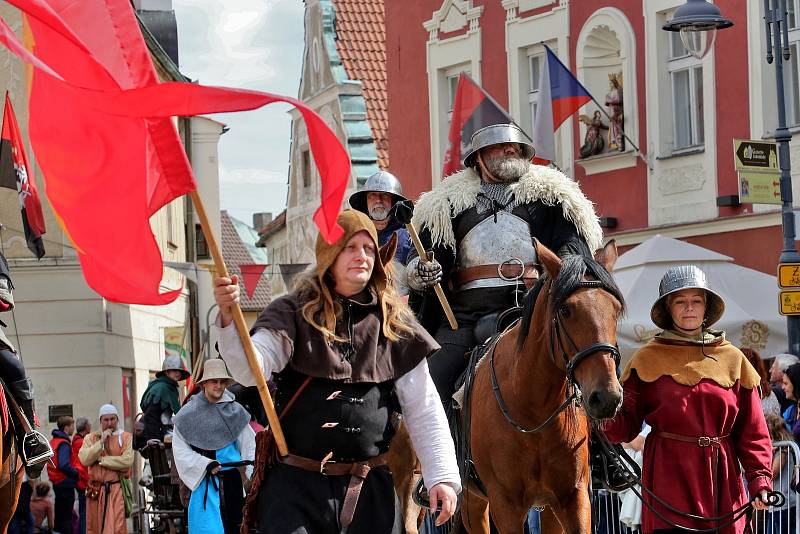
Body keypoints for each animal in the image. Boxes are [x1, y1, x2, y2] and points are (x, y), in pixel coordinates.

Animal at [462, 242, 624, 534]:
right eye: (566, 310)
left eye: (616, 309)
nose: (607, 397)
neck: (533, 411)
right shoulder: (506, 505)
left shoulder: (573, 497)